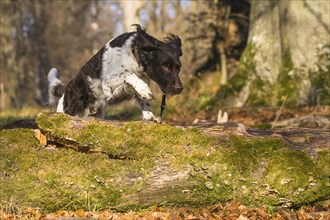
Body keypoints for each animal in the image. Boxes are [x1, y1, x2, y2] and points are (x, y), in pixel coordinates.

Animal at [47, 25, 183, 124]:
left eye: (178, 67)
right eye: (164, 66)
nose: (179, 88)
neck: (134, 54)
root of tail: (65, 90)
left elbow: (143, 100)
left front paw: (150, 117)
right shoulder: (107, 81)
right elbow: (129, 74)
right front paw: (145, 90)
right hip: (69, 109)